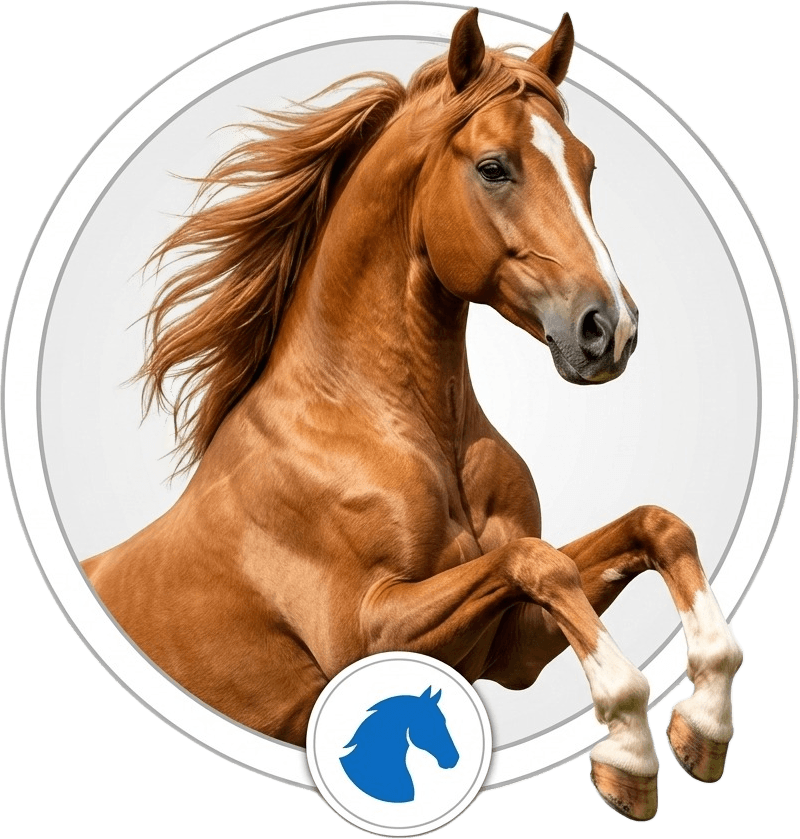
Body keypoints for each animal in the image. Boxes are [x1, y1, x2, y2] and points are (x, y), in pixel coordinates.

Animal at [82, 9, 744, 821]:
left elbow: (651, 527)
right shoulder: (368, 632)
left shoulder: (513, 644)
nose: (608, 330)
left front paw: (702, 725)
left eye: (587, 166)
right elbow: (539, 561)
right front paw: (631, 755)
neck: (402, 430)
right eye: (493, 167)